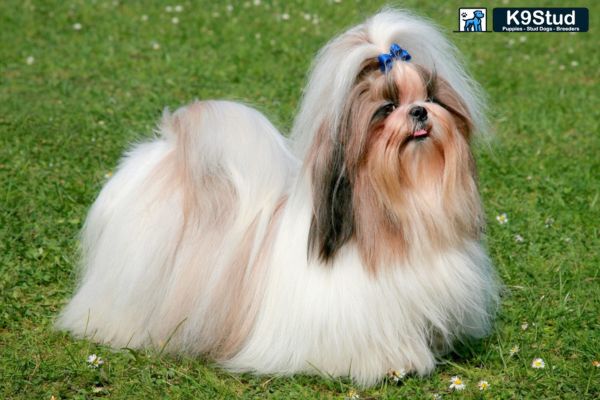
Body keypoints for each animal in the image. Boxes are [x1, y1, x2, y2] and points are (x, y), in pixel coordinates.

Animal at [58, 9, 500, 386]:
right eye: (388, 107)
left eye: (432, 97)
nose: (420, 111)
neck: (397, 217)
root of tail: (164, 154)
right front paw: (394, 364)